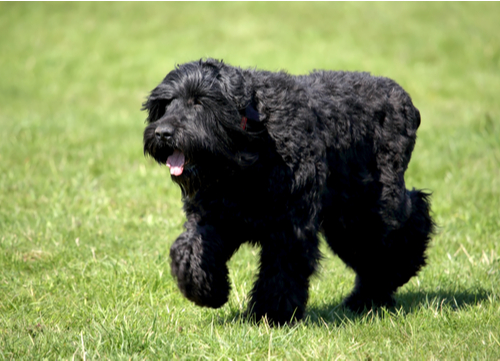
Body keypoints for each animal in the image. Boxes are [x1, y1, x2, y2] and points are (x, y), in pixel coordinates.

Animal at [142, 58, 434, 324]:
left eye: (199, 101)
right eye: (165, 104)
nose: (163, 133)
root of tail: (406, 103)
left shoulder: (290, 225)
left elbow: (281, 271)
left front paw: (269, 314)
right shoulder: (213, 218)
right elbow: (189, 250)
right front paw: (206, 291)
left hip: (373, 204)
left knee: (412, 220)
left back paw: (396, 274)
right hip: (346, 217)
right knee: (370, 253)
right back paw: (367, 299)